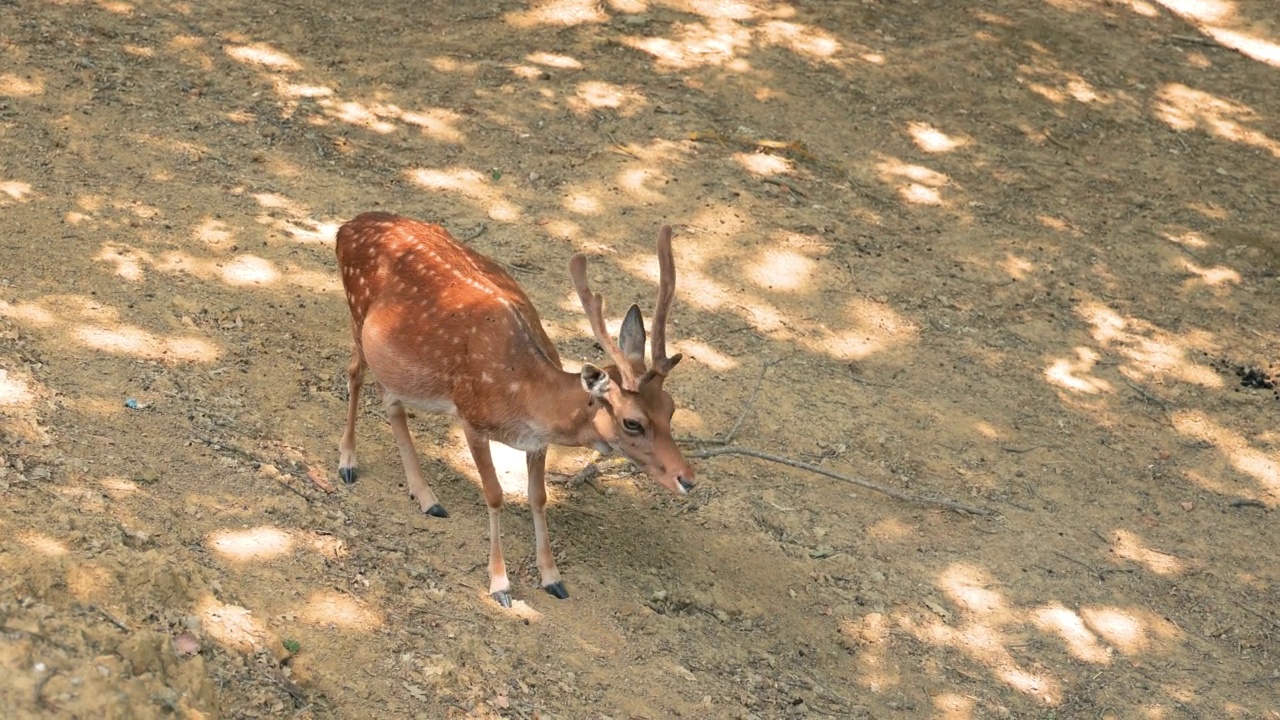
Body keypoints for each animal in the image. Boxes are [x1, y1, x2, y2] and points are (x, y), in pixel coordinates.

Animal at [330, 211, 691, 604]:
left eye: (671, 409)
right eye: (632, 422)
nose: (687, 478)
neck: (526, 396)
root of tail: (347, 226)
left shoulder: (537, 443)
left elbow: (538, 497)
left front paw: (552, 578)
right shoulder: (470, 416)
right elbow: (495, 494)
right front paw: (500, 584)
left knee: (391, 402)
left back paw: (427, 497)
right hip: (356, 314)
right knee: (354, 374)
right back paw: (348, 463)